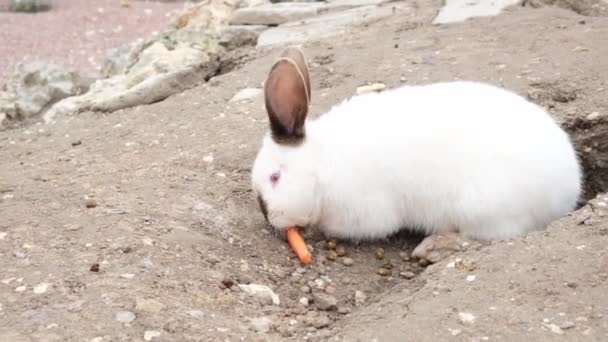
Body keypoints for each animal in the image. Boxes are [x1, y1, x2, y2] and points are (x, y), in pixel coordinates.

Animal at [249, 44, 580, 260]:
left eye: (275, 178)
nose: (268, 217)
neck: (320, 164)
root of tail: (569, 190)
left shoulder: (365, 211)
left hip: (482, 209)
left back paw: (432, 247)